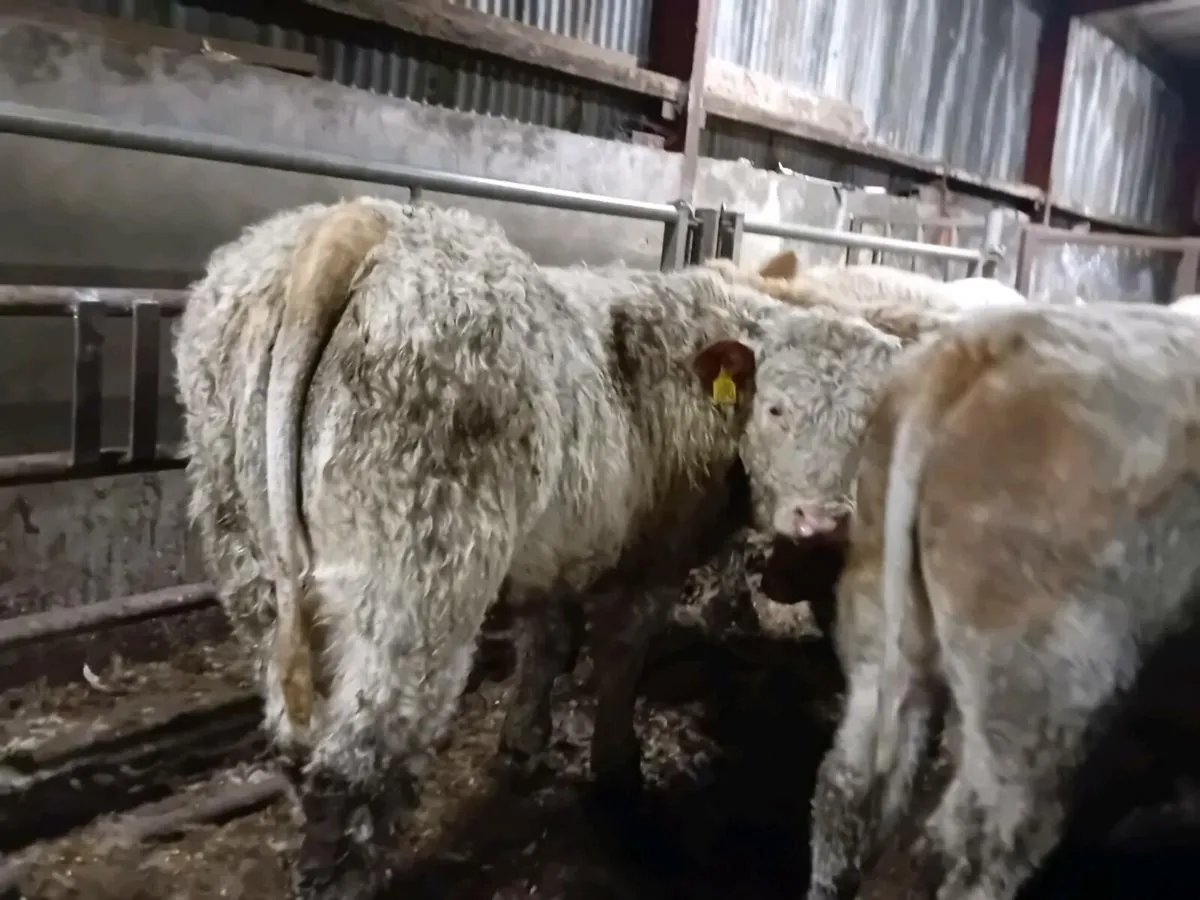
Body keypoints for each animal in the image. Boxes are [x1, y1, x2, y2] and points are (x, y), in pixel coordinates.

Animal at [174, 196, 903, 899]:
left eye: (874, 425)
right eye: (777, 409)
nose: (823, 520)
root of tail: (357, 222)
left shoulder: (560, 550)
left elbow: (547, 640)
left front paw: (523, 744)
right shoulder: (654, 555)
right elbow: (618, 657)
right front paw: (616, 772)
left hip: (245, 547)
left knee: (294, 728)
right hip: (417, 568)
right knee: (359, 754)